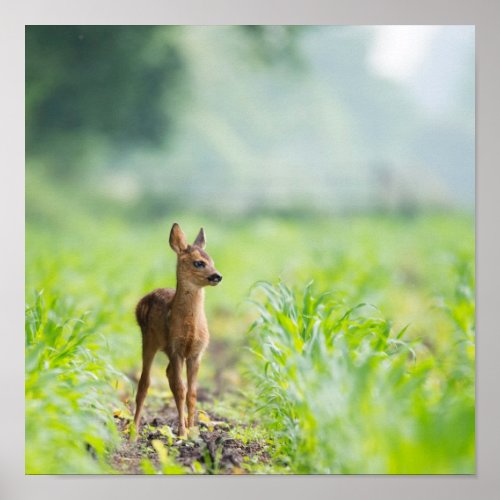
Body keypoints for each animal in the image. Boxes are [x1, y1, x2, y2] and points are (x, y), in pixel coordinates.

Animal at [132, 223, 222, 438]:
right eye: (199, 263)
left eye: (212, 260)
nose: (217, 276)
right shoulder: (175, 349)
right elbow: (181, 390)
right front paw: (182, 432)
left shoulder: (196, 353)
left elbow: (192, 393)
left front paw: (193, 429)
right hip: (148, 340)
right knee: (144, 383)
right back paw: (134, 430)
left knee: (168, 375)